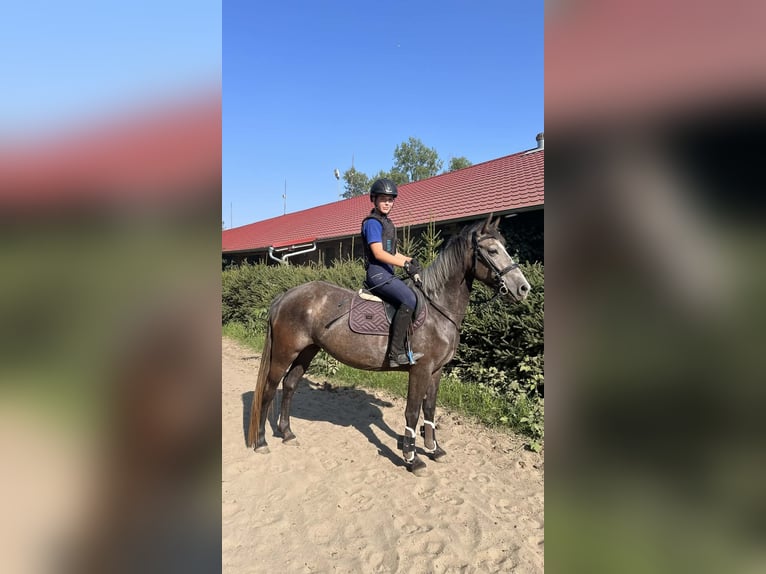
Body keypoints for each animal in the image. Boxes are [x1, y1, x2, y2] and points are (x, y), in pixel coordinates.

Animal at [246, 214, 531, 475]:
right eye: (492, 250)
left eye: (505, 246)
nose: (523, 288)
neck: (437, 310)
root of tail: (286, 296)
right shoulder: (420, 369)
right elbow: (412, 412)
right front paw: (412, 458)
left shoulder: (436, 371)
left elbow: (430, 408)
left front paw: (433, 449)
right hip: (284, 352)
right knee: (270, 389)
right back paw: (261, 441)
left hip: (307, 351)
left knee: (290, 385)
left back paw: (287, 433)